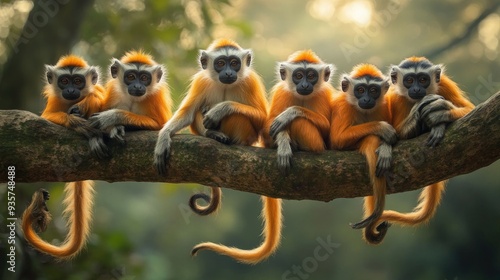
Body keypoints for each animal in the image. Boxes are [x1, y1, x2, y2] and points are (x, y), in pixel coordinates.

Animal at [21, 54, 105, 258]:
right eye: (64, 81)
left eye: (78, 81)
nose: (71, 90)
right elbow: (45, 119)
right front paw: (75, 122)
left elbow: (98, 95)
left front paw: (88, 101)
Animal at [154, 38, 282, 264]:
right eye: (221, 63)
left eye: (235, 63)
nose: (229, 72)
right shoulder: (201, 81)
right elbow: (187, 114)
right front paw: (163, 138)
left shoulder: (251, 81)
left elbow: (261, 119)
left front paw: (221, 108)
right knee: (200, 110)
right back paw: (213, 134)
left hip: (247, 136)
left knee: (236, 115)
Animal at [330, 63, 396, 243]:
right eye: (360, 90)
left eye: (373, 90)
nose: (366, 99)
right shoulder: (344, 107)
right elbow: (337, 140)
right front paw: (382, 128)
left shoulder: (383, 107)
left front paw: (386, 148)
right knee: (370, 138)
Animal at [376, 55, 476, 231]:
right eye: (409, 80)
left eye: (423, 79)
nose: (416, 89)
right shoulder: (396, 97)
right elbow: (397, 136)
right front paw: (420, 110)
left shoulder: (444, 83)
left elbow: (470, 110)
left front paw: (441, 110)